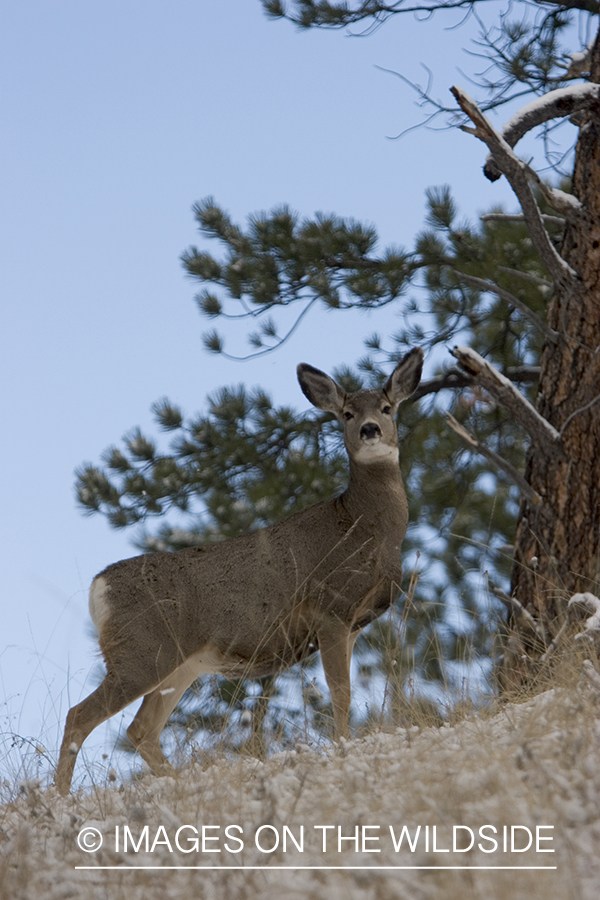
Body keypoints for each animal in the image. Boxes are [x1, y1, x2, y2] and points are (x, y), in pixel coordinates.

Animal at [55, 347, 423, 795]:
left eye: (387, 408)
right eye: (347, 413)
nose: (371, 429)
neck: (365, 528)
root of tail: (99, 586)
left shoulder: (351, 623)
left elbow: (343, 692)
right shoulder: (329, 608)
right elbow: (341, 693)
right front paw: (342, 747)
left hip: (179, 664)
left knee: (140, 730)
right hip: (140, 653)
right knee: (79, 717)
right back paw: (59, 798)